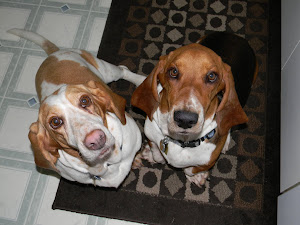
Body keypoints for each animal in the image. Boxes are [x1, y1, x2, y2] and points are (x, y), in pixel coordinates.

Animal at [8, 29, 145, 189]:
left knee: (124, 70)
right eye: (55, 122)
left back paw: (141, 80)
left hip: (109, 71)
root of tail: (54, 54)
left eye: (85, 100)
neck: (105, 163)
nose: (96, 140)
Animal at [132, 32, 258, 186]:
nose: (185, 120)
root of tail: (236, 36)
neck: (181, 141)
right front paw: (150, 154)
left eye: (212, 76)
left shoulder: (208, 159)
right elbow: (158, 154)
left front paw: (197, 176)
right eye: (173, 71)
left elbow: (190, 169)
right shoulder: (151, 134)